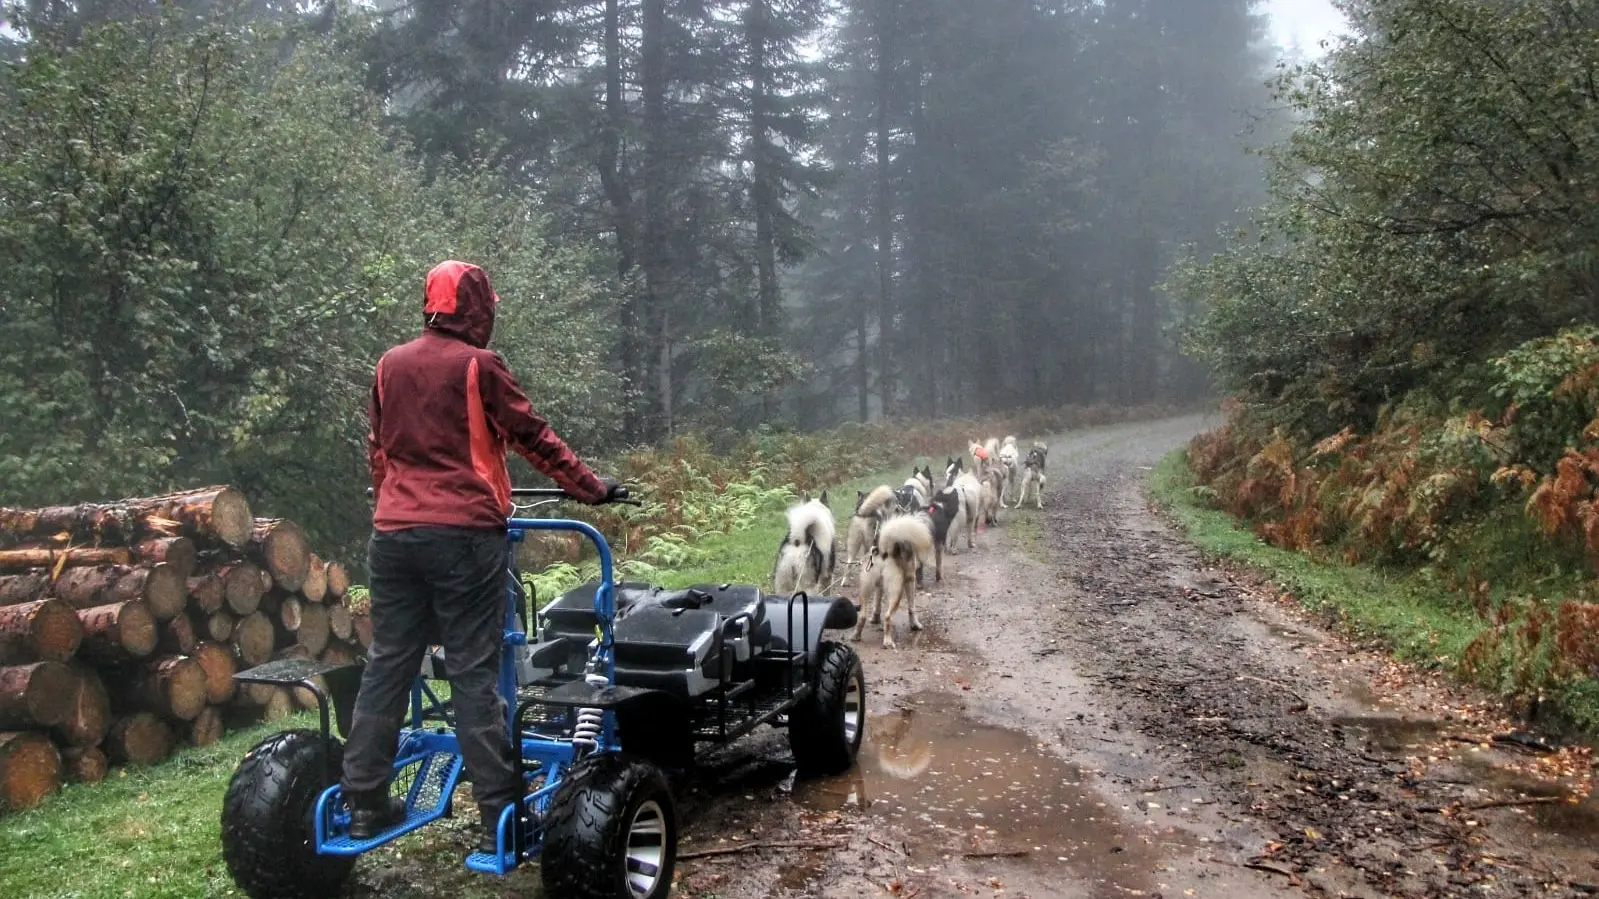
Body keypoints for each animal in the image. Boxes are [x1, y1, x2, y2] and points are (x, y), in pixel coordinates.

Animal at [857, 511, 933, 643]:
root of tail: (885, 549)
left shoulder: (879, 585)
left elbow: (877, 603)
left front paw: (875, 618)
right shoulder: (910, 579)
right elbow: (912, 607)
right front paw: (915, 625)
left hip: (865, 588)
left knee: (862, 615)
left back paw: (856, 636)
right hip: (896, 591)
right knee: (888, 617)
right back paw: (888, 642)